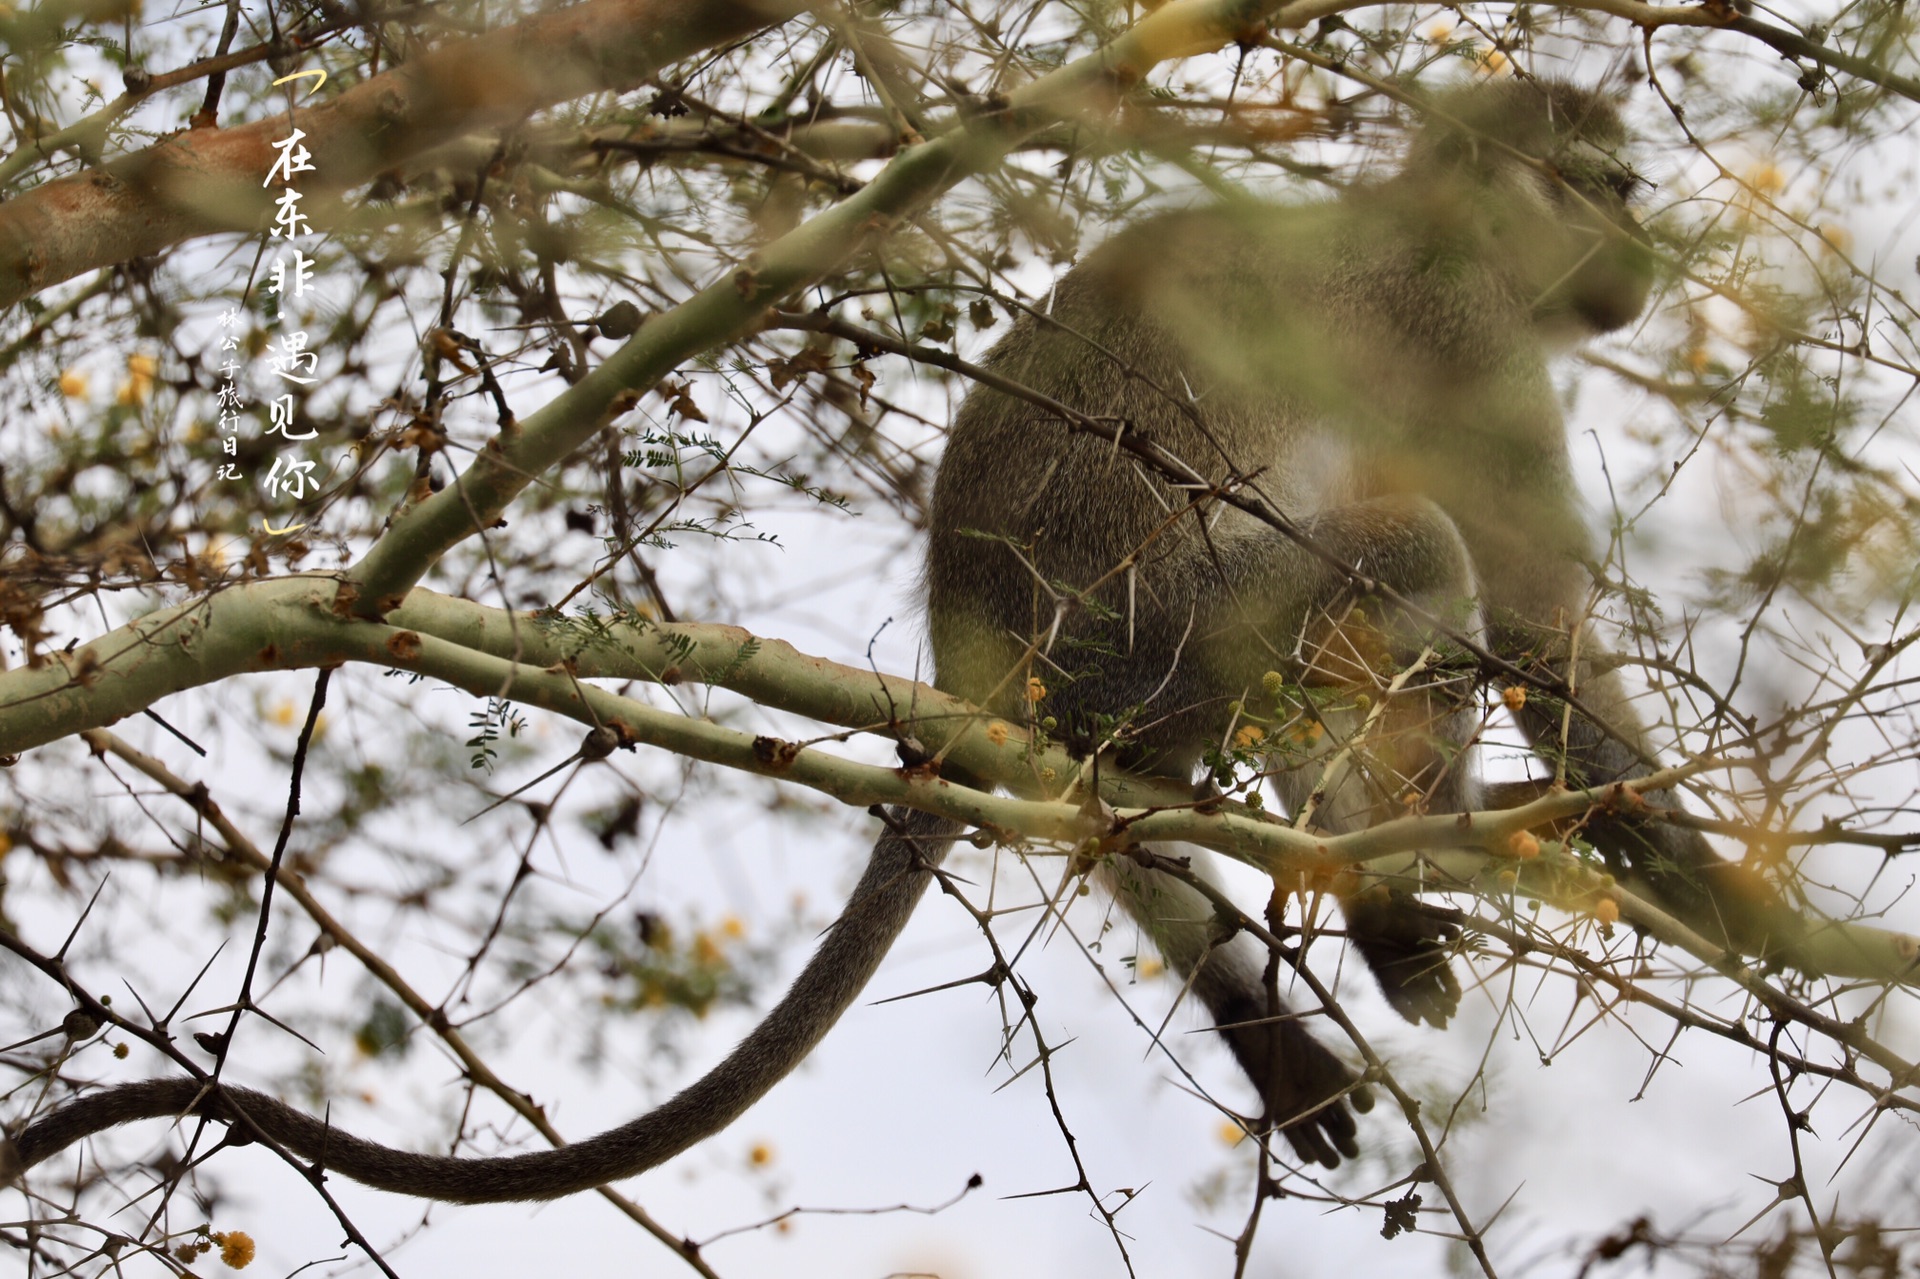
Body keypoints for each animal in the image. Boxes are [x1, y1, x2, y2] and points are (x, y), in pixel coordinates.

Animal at [7, 77, 1797, 1198]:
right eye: (1614, 190)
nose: (1646, 258)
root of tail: (970, 640)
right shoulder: (1477, 341)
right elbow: (1541, 626)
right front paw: (1724, 894)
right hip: (1158, 631)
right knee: (1395, 562)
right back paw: (1381, 893)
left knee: (1114, 798)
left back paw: (1285, 973)